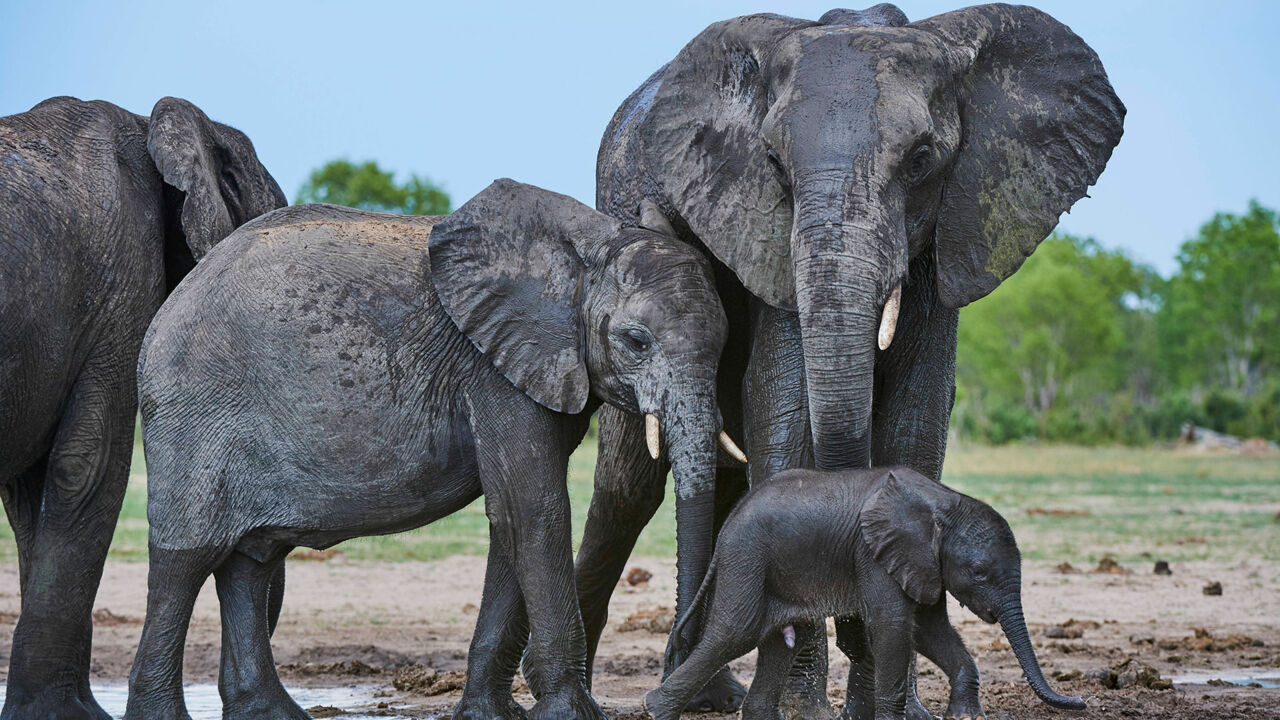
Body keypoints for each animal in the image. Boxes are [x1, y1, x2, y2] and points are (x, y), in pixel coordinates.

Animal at [124, 178, 737, 717]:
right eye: (636, 342)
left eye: (724, 343)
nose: (659, 697)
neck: (587, 247)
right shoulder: (494, 367)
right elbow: (533, 510)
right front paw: (573, 714)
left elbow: (509, 519)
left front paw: (492, 715)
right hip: (193, 410)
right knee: (185, 561)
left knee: (250, 562)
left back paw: (273, 713)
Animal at [645, 466, 1085, 717]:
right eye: (979, 573)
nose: (1080, 703)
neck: (944, 503)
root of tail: (729, 522)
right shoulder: (873, 552)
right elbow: (893, 626)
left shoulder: (922, 562)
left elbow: (928, 629)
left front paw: (968, 716)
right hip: (747, 558)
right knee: (734, 632)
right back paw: (654, 710)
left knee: (781, 641)